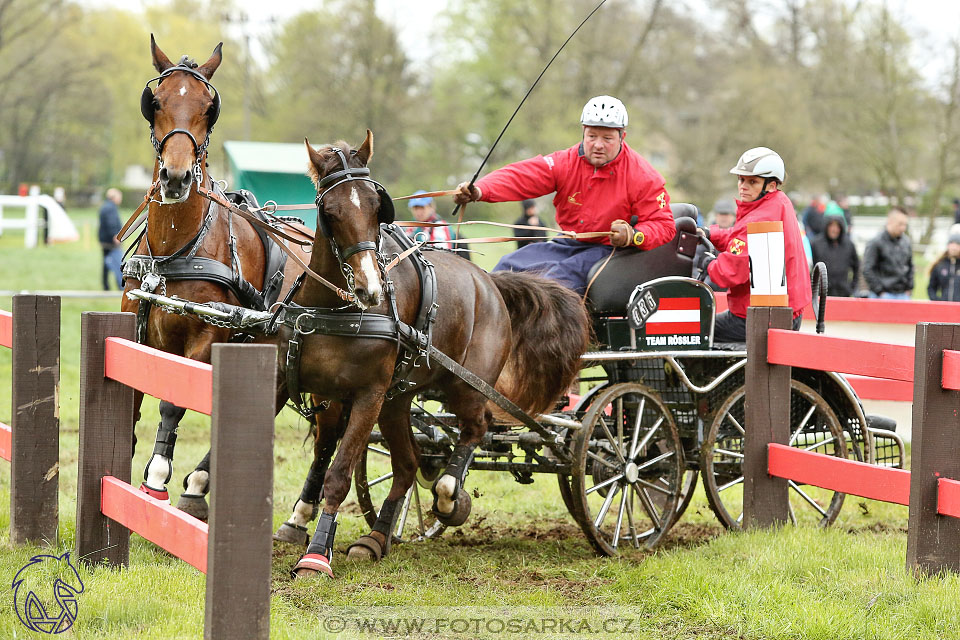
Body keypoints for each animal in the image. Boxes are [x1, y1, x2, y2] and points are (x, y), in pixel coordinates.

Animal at [118, 36, 310, 516]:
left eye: (209, 107)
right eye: (156, 102)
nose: (176, 176)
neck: (177, 248)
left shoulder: (205, 339)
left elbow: (172, 403)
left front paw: (155, 479)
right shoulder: (134, 329)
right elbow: (130, 397)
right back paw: (200, 484)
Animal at [284, 132, 592, 576]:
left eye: (377, 206)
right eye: (329, 210)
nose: (369, 289)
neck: (337, 310)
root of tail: (491, 283)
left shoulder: (368, 396)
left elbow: (339, 472)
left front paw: (315, 555)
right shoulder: (321, 392)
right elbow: (321, 452)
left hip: (465, 387)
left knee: (475, 430)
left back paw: (450, 496)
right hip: (399, 399)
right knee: (409, 463)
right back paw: (376, 538)